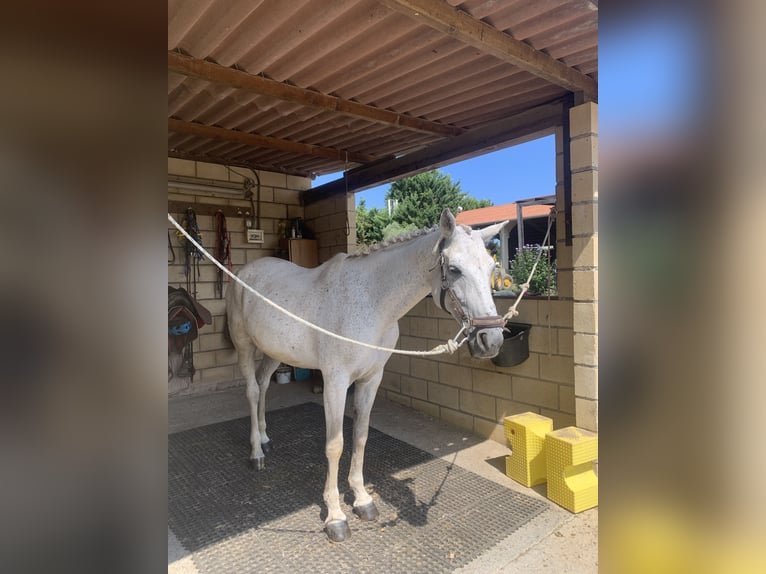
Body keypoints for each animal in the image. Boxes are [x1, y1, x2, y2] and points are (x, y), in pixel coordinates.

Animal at [225, 208, 507, 542]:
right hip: (245, 346)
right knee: (253, 391)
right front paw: (335, 516)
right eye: (454, 269)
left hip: (274, 351)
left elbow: (360, 436)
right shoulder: (335, 382)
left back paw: (266, 437)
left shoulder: (372, 379)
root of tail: (245, 272)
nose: (491, 340)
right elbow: (335, 445)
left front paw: (362, 500)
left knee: (264, 385)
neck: (371, 303)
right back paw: (256, 451)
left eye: (491, 268)